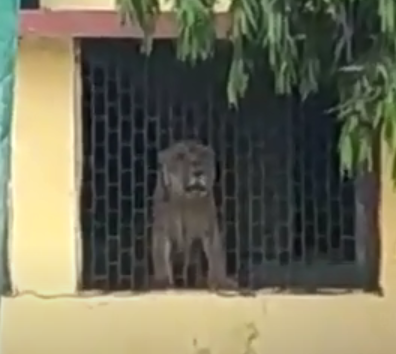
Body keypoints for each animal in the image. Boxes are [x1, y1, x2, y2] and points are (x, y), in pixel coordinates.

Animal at [150, 140, 237, 290]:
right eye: (180, 156)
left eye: (204, 155)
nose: (198, 172)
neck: (186, 200)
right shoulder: (162, 230)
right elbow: (160, 254)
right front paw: (162, 283)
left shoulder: (210, 227)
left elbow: (215, 254)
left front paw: (220, 282)